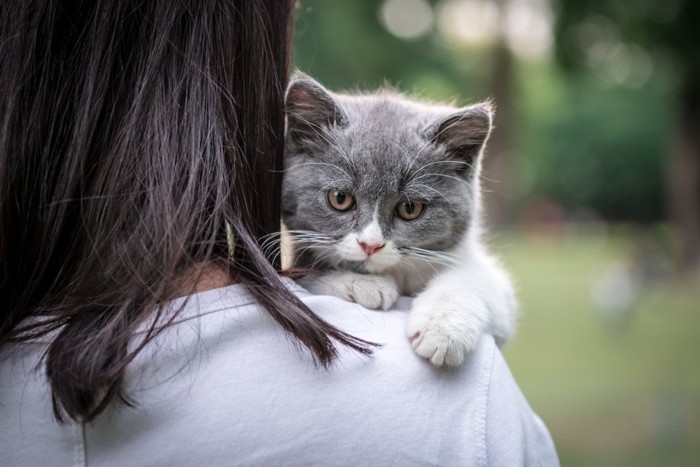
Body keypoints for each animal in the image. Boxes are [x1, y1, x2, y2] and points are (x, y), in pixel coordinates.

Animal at [278, 73, 516, 368]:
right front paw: (365, 285)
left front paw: (443, 329)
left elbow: (476, 279)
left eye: (410, 208)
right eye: (340, 198)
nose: (370, 245)